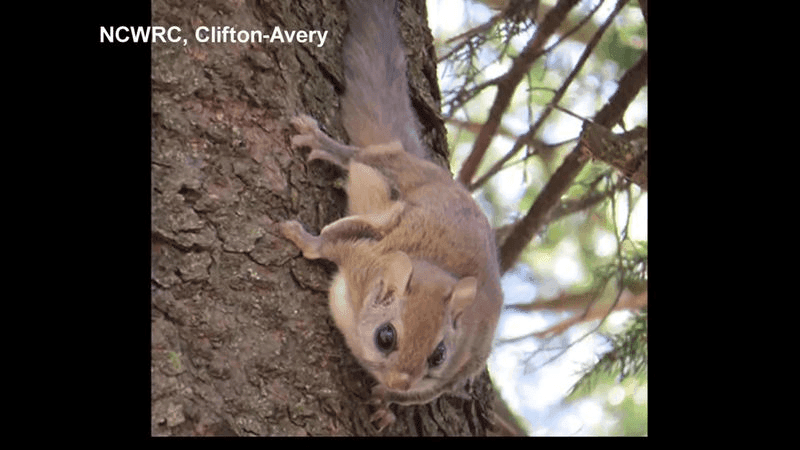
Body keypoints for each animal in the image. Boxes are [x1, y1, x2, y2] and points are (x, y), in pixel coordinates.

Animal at [280, 0, 503, 432]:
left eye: (438, 355)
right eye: (387, 337)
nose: (401, 380)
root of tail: (428, 167)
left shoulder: (459, 366)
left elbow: (420, 394)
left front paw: (386, 402)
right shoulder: (362, 253)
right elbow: (329, 244)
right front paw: (302, 238)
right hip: (388, 170)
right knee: (356, 157)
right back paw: (322, 143)